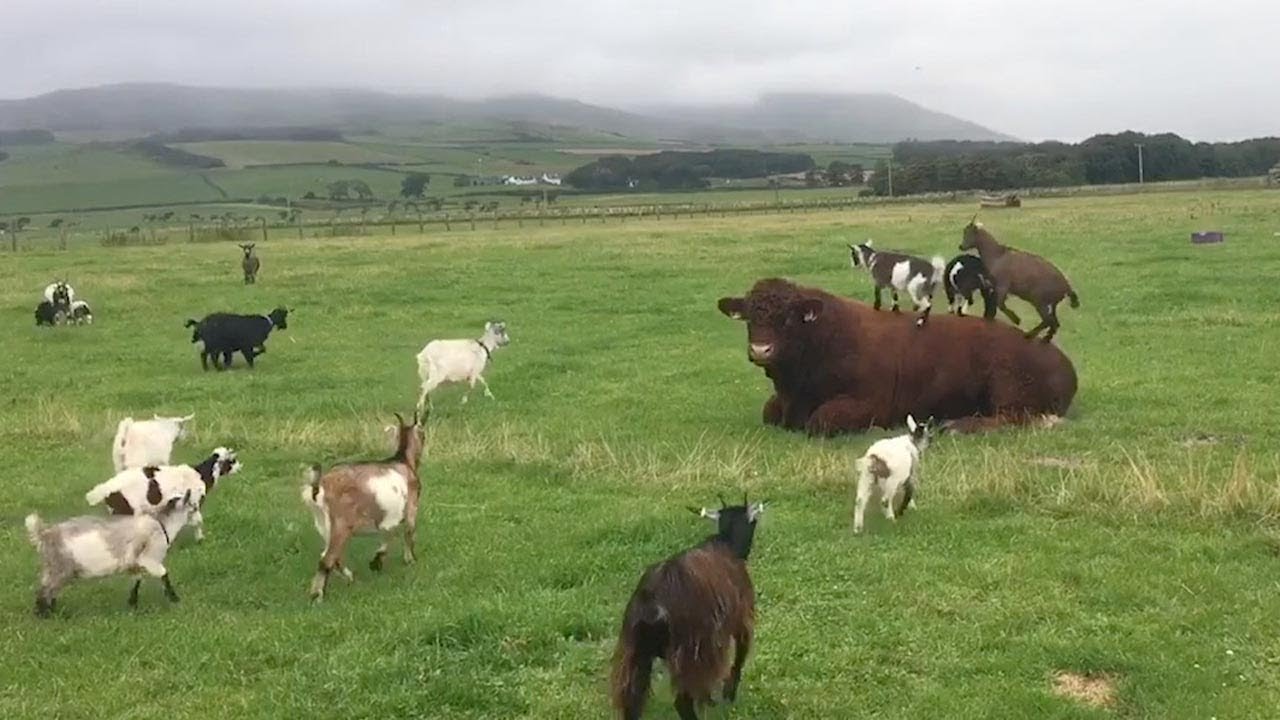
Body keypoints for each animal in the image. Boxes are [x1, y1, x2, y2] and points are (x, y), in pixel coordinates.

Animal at [26, 485, 203, 616]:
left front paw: (133, 605)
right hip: (60, 568)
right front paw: (175, 600)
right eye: (193, 507)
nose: (200, 520)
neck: (161, 524)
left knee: (48, 590)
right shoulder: (150, 559)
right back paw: (44, 615)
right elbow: (164, 574)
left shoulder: (135, 565)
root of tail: (45, 534)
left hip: (53, 568)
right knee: (45, 591)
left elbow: (136, 581)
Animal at [87, 447, 241, 542]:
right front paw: (200, 539)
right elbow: (197, 521)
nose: (240, 467)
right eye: (231, 460)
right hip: (130, 511)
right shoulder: (194, 502)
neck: (201, 475)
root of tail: (106, 489)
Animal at [302, 411, 426, 600]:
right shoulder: (410, 507)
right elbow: (407, 532)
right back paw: (318, 595)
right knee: (327, 559)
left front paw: (377, 561)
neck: (404, 461)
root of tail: (319, 487)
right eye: (423, 435)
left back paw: (349, 577)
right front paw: (409, 560)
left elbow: (388, 534)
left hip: (323, 524)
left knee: (332, 556)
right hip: (341, 525)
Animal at [611, 496, 765, 720]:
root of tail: (653, 604)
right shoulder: (741, 618)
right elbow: (740, 655)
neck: (726, 544)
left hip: (636, 654)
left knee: (632, 702)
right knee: (682, 701)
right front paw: (728, 694)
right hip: (689, 655)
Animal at [717, 278, 1078, 436]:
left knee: (1012, 417)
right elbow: (769, 412)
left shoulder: (870, 405)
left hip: (1007, 389)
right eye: (749, 317)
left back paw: (955, 424)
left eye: (788, 319)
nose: (761, 350)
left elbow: (821, 421)